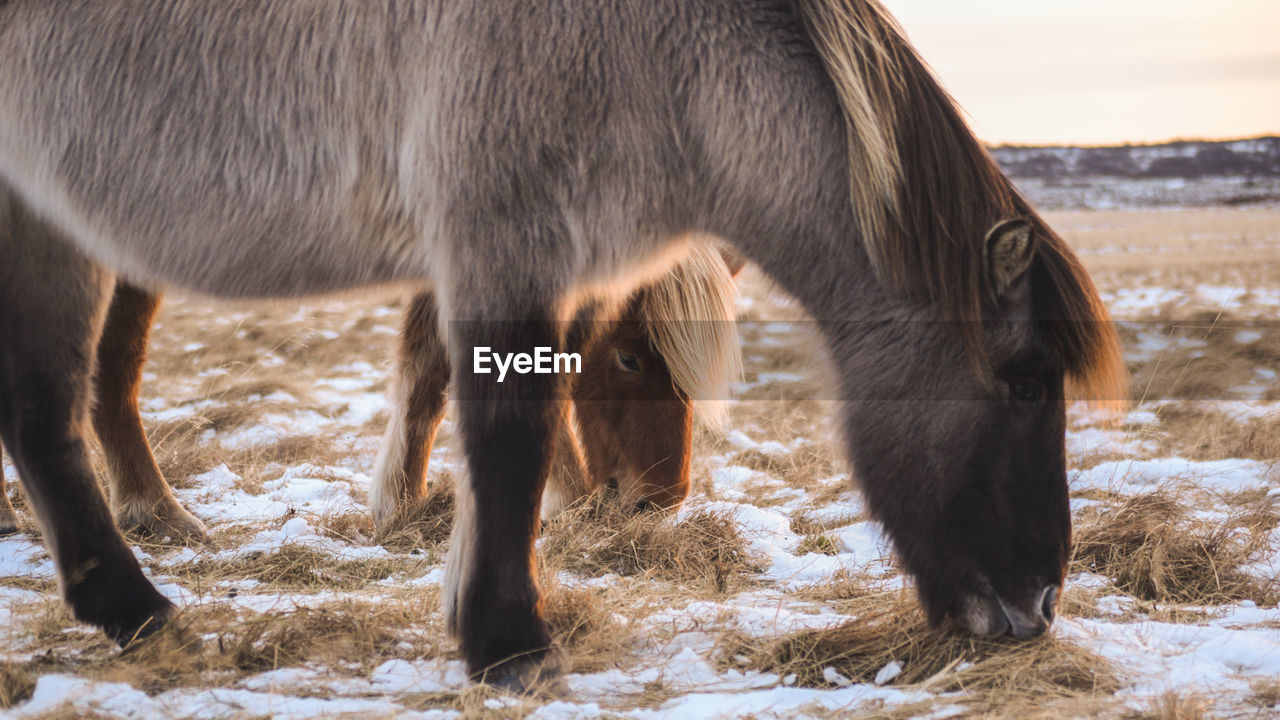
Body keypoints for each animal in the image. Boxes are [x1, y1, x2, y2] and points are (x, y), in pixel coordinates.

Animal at [0, 0, 1121, 691]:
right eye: (1027, 385)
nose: (1038, 604)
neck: (653, 50)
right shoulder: (500, 245)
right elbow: (506, 433)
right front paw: (508, 642)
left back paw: (130, 606)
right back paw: (140, 591)